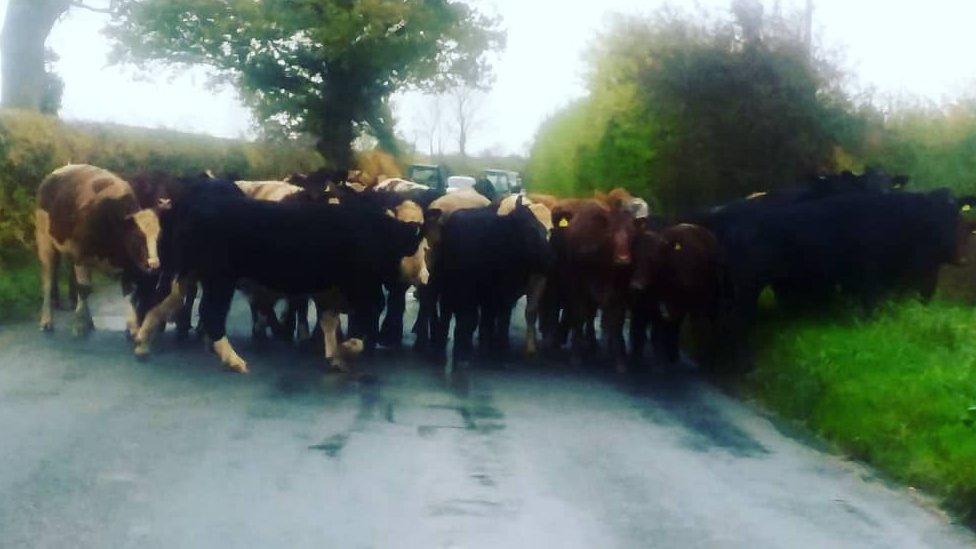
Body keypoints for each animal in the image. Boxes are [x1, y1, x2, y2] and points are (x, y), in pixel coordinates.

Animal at [36, 164, 164, 334]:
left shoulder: (128, 265)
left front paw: (133, 326)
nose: (154, 264)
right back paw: (46, 320)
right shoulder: (81, 254)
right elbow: (84, 289)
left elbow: (130, 292)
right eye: (137, 237)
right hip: (45, 241)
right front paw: (79, 325)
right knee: (48, 279)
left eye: (159, 236)